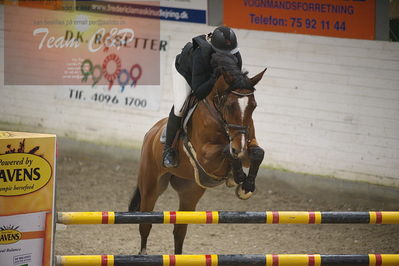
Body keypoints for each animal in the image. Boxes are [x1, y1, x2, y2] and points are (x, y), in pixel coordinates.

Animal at [128, 59, 266, 254]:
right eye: (230, 105)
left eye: (253, 105)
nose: (239, 146)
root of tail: (151, 132)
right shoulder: (206, 156)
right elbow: (227, 151)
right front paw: (238, 177)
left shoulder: (246, 143)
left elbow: (257, 153)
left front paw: (247, 185)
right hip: (151, 187)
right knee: (145, 223)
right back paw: (143, 254)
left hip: (190, 192)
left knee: (179, 231)